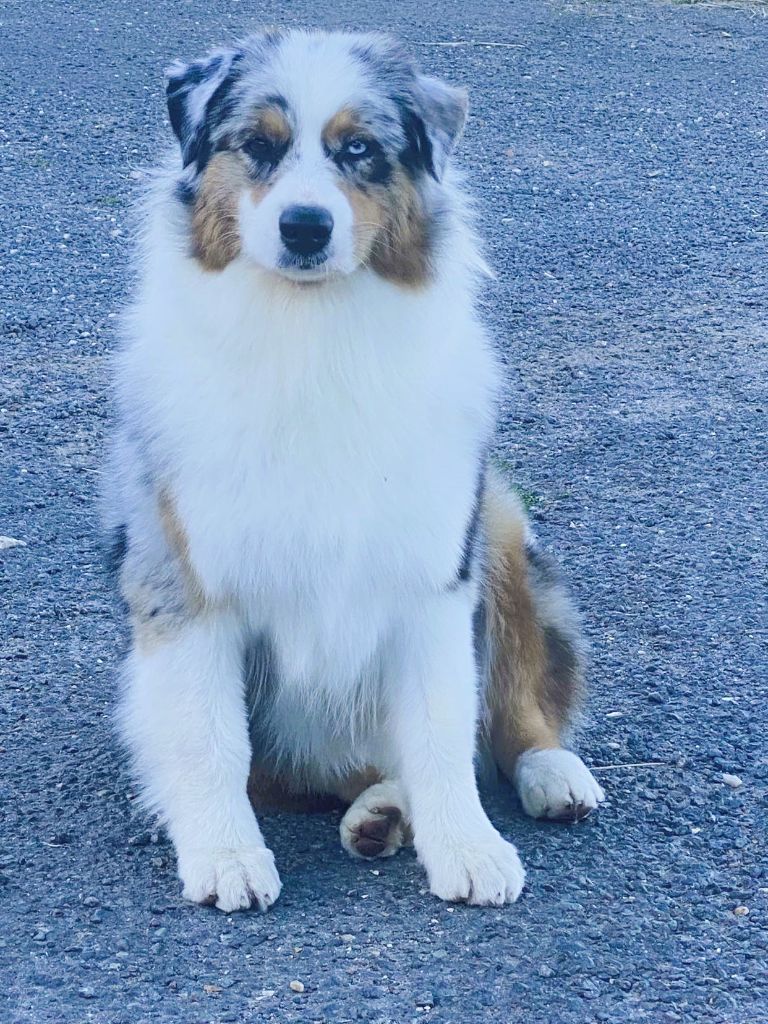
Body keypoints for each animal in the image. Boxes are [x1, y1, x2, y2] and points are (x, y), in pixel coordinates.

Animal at [103, 29, 606, 913]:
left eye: (359, 149)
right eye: (259, 145)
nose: (305, 227)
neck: (311, 334)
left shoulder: (432, 569)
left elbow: (443, 725)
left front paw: (468, 847)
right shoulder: (186, 578)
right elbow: (207, 737)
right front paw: (226, 856)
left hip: (499, 521)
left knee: (511, 702)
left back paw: (545, 774)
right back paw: (378, 812)